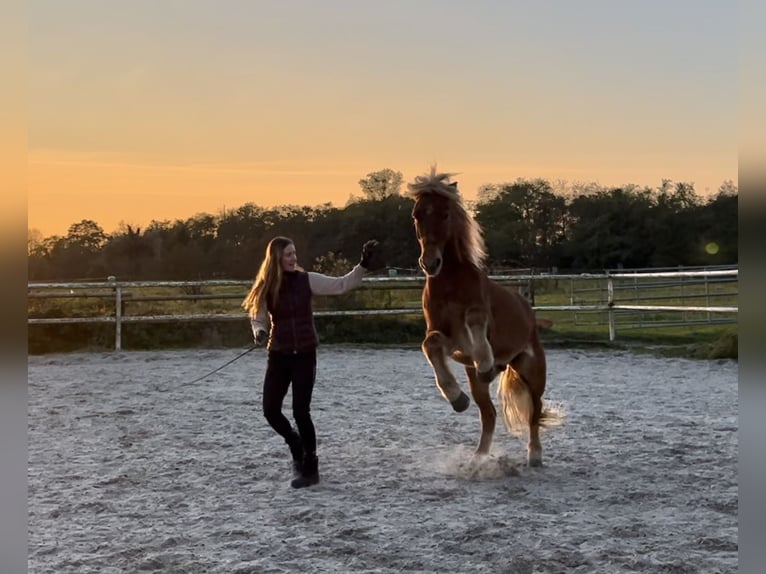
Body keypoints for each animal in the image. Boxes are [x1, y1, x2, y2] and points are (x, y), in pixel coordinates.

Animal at [407, 167, 561, 467]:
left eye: (445, 213)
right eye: (417, 214)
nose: (430, 263)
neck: (449, 284)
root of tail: (528, 312)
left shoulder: (476, 319)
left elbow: (476, 323)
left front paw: (487, 362)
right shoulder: (449, 340)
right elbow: (430, 344)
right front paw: (457, 398)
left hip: (533, 370)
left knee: (535, 410)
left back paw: (534, 455)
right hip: (476, 381)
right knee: (488, 414)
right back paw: (478, 457)